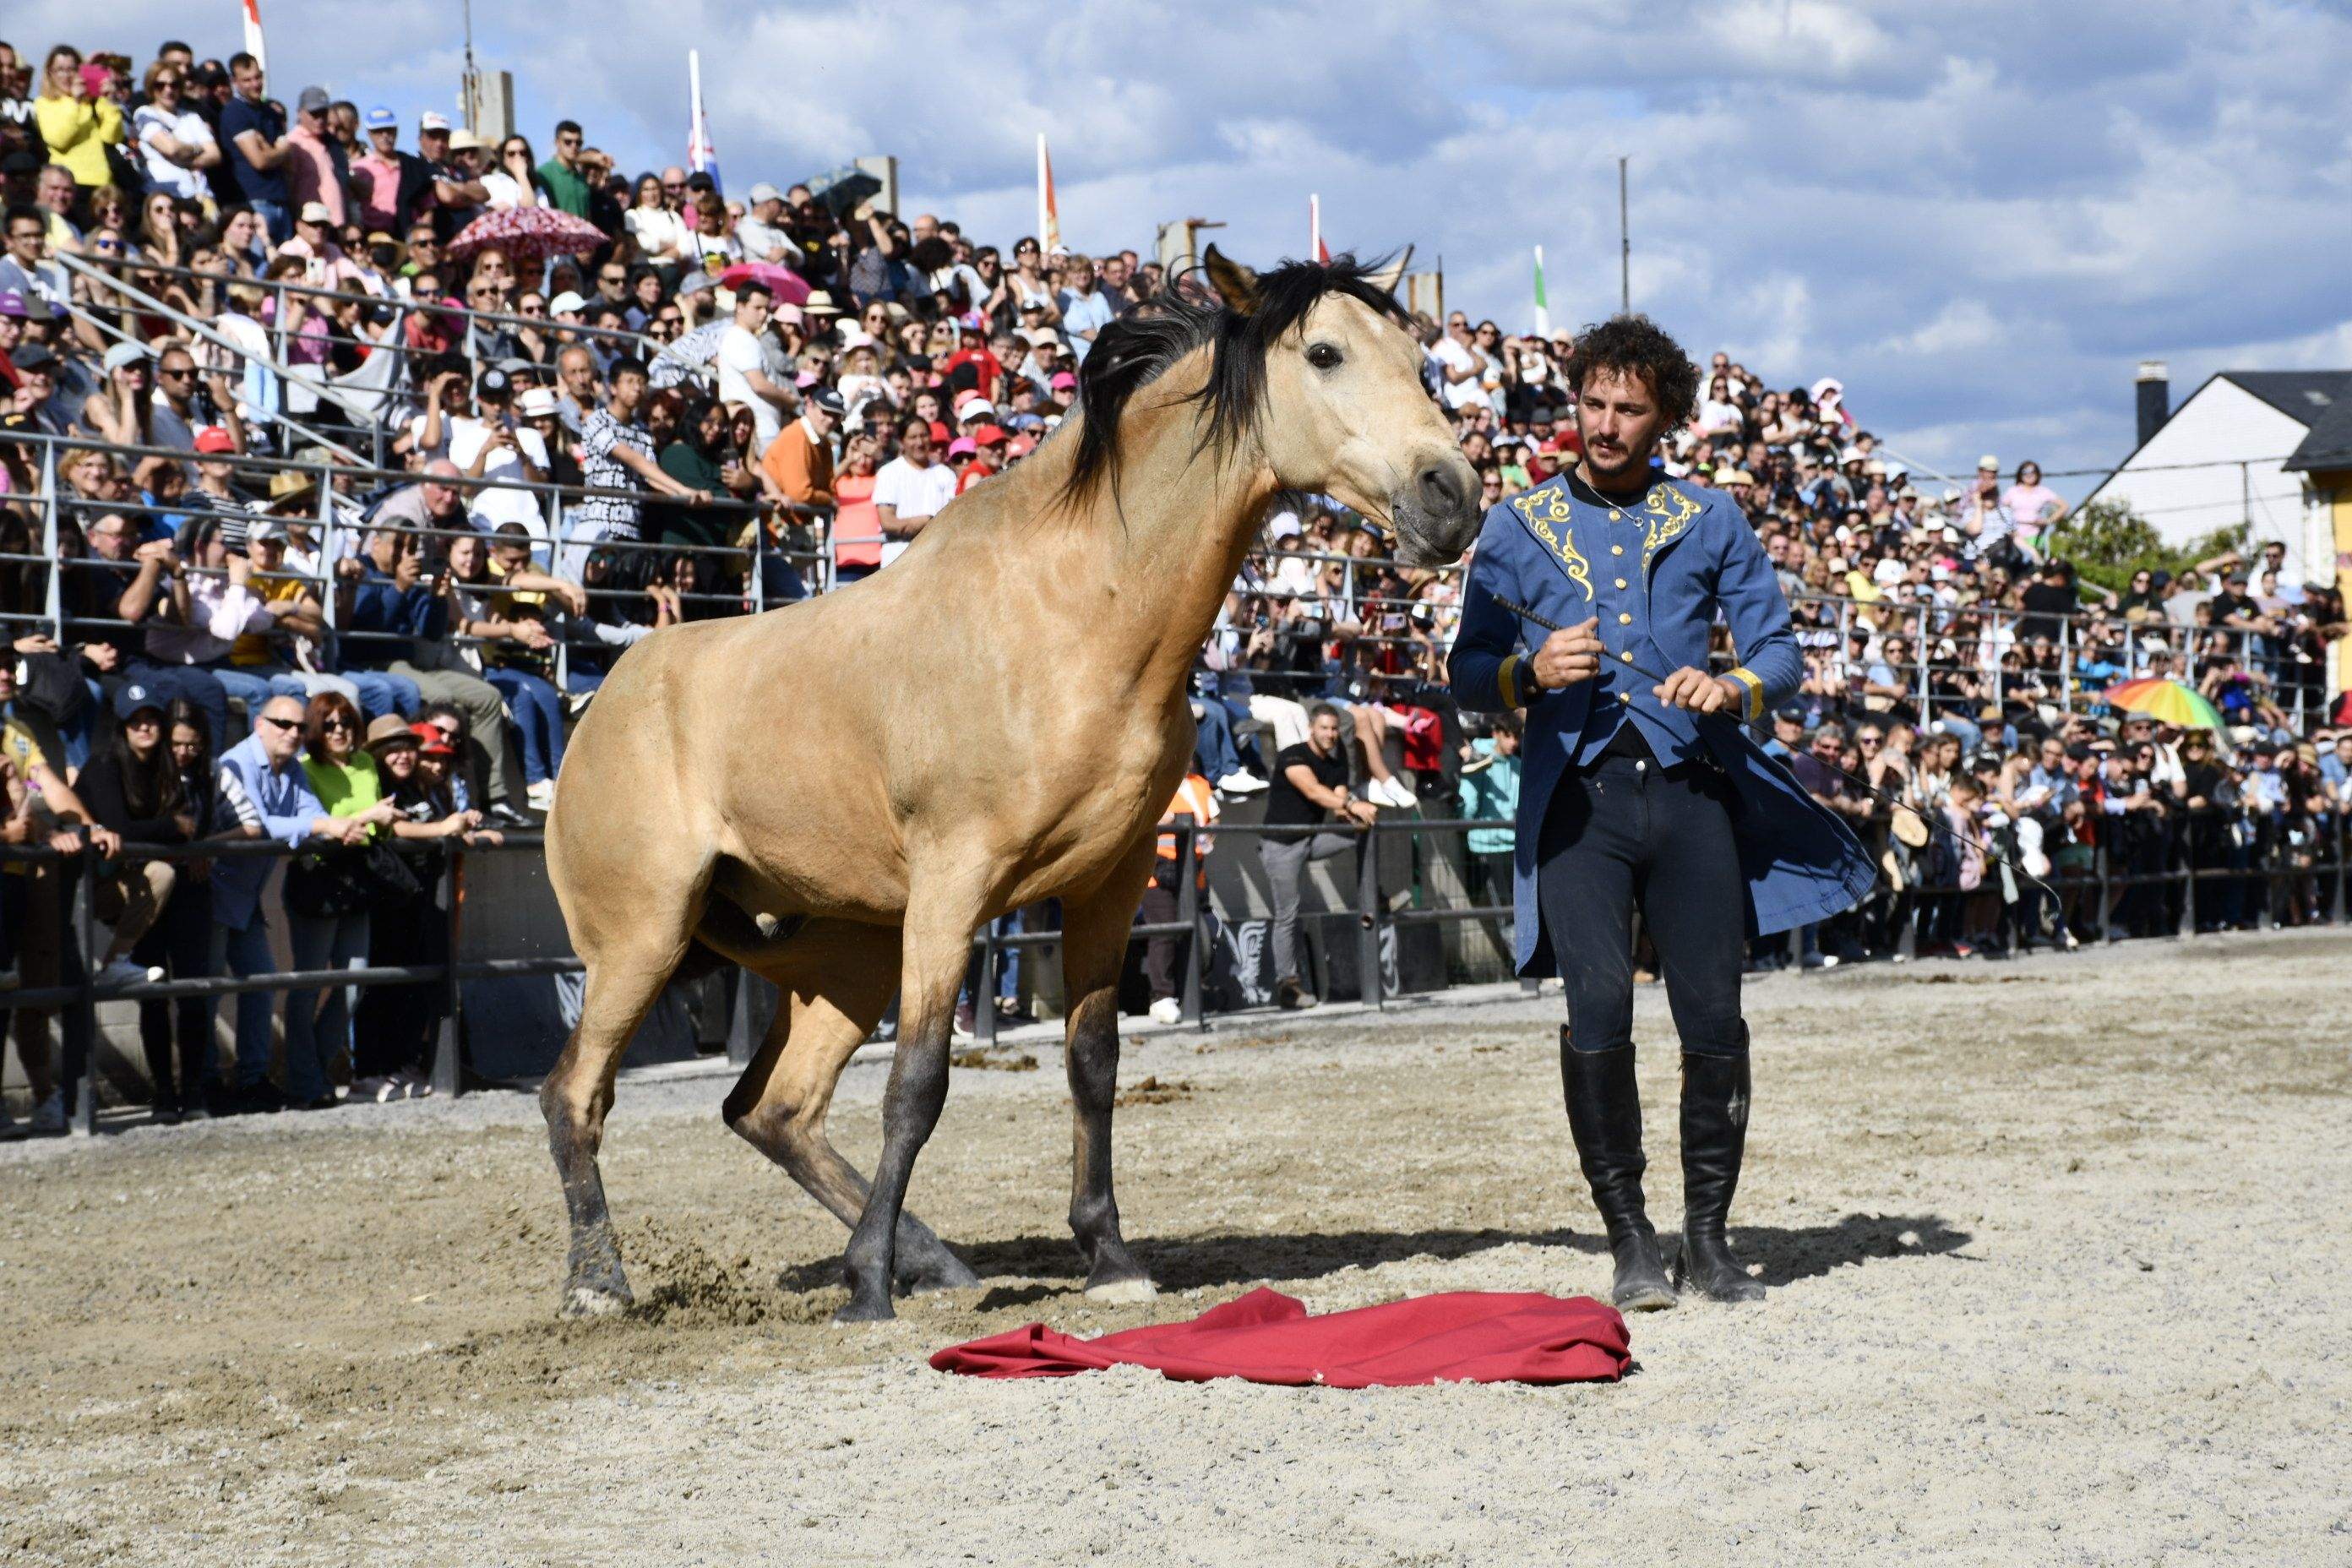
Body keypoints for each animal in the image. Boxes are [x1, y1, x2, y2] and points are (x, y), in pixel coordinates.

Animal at [541, 248, 1477, 1326]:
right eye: (1323, 353)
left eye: (1418, 357)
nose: (1455, 493)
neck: (1072, 611)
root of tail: (601, 702)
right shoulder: (954, 886)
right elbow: (919, 1082)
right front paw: (869, 1291)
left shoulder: (1108, 883)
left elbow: (1091, 1063)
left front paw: (1109, 1255)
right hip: (642, 937)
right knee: (577, 1092)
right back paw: (601, 1281)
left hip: (846, 956)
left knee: (775, 1109)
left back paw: (934, 1259)